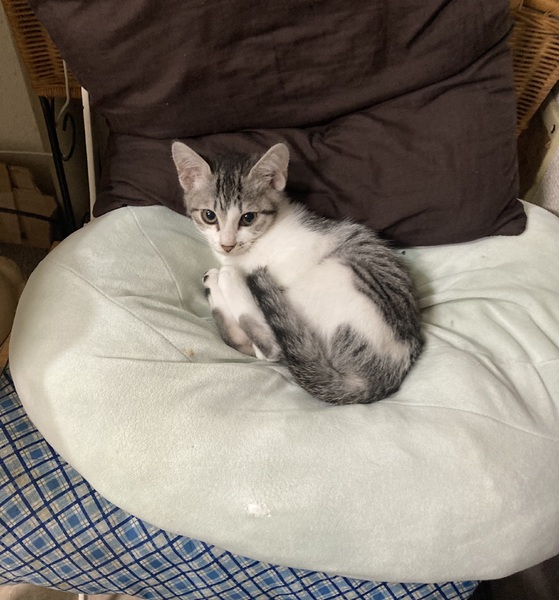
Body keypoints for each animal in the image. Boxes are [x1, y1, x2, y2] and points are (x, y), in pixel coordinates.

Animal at [172, 141, 423, 405]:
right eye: (209, 216)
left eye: (248, 218)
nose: (227, 245)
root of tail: (379, 378)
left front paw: (231, 274)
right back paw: (214, 286)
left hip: (337, 276)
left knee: (272, 346)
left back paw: (228, 280)